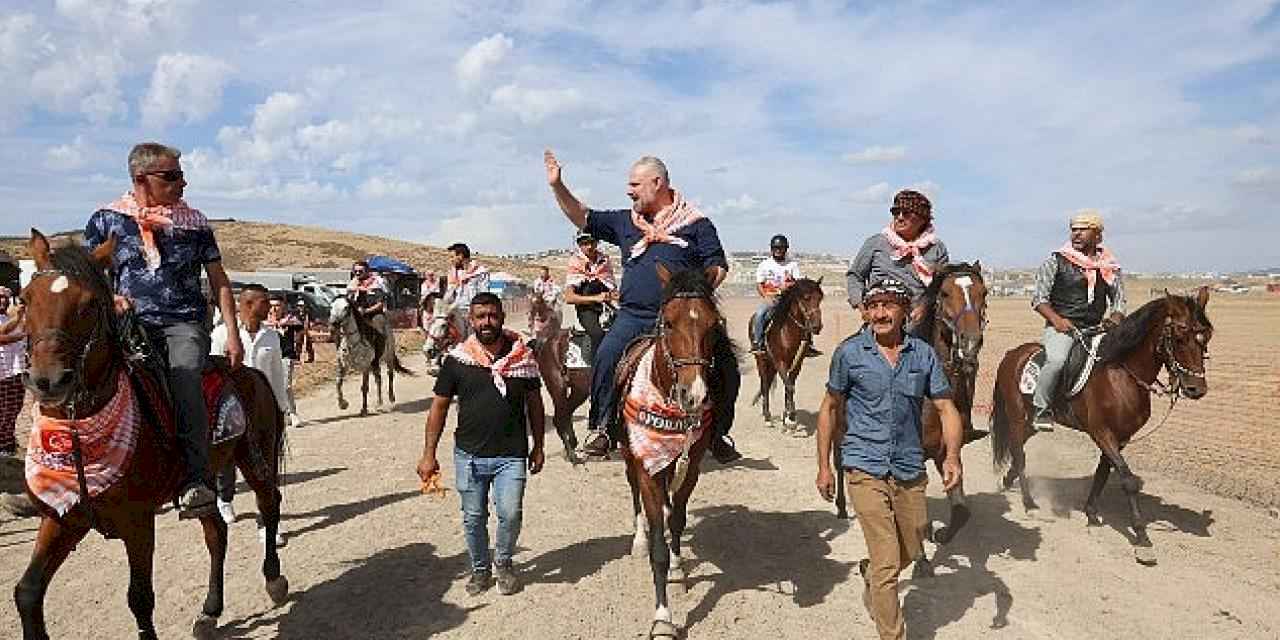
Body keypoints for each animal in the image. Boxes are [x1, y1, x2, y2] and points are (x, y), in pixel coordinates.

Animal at [16, 231, 288, 640]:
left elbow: (140, 598)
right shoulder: (62, 518)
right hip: (207, 477)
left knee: (269, 503)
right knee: (216, 534)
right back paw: (209, 611)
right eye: (26, 298)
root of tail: (250, 371)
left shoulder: (138, 522)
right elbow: (28, 592)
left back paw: (273, 580)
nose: (48, 381)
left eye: (90, 303)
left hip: (256, 458)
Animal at [527, 290, 591, 460]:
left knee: (566, 412)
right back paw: (572, 454)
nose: (532, 320)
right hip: (559, 386)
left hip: (577, 389)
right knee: (560, 416)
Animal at [616, 262, 721, 637]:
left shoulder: (692, 465)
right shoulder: (647, 465)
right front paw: (663, 617)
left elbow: (676, 517)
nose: (695, 395)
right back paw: (638, 539)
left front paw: (677, 565)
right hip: (631, 457)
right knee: (636, 496)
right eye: (670, 322)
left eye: (713, 324)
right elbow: (657, 547)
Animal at [747, 276, 824, 435]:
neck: (788, 330)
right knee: (765, 385)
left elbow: (790, 386)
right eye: (806, 297)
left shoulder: (797, 363)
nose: (817, 326)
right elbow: (789, 386)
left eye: (820, 298)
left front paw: (787, 418)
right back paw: (767, 418)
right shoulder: (780, 361)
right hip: (761, 360)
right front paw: (791, 420)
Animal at [988, 290, 1208, 565]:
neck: (1121, 375)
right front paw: (1142, 539)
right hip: (1017, 416)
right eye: (1179, 338)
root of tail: (1012, 354)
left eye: (1205, 338)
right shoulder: (1102, 433)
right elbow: (1127, 480)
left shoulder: (1120, 437)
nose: (1196, 389)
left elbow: (1103, 472)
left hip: (1033, 421)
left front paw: (1091, 513)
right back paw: (1029, 503)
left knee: (1018, 448)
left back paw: (1008, 482)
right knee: (1019, 453)